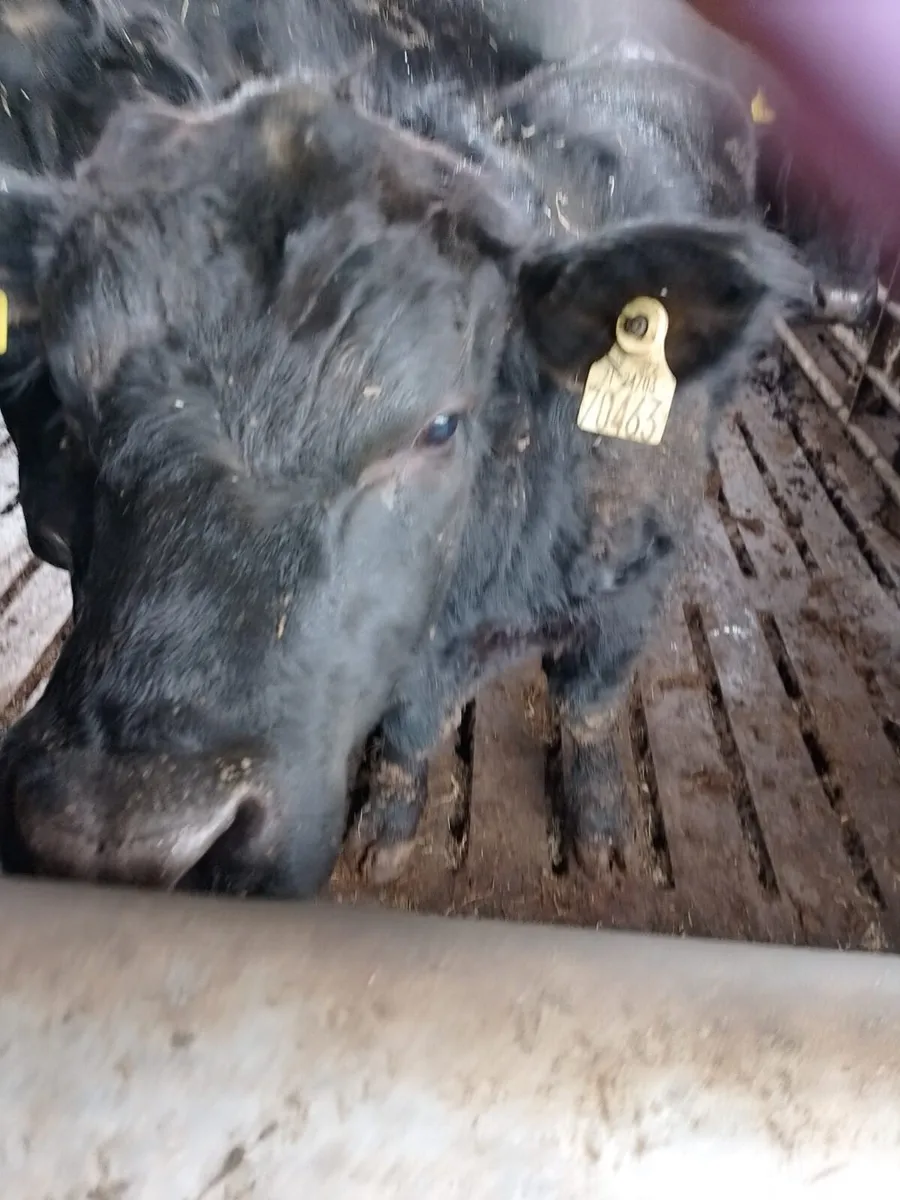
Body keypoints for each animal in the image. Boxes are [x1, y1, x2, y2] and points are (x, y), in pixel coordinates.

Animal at [0, 1, 810, 896]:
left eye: (440, 426)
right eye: (69, 406)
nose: (123, 835)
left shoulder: (634, 587)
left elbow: (589, 705)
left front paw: (601, 823)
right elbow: (413, 727)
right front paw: (389, 823)